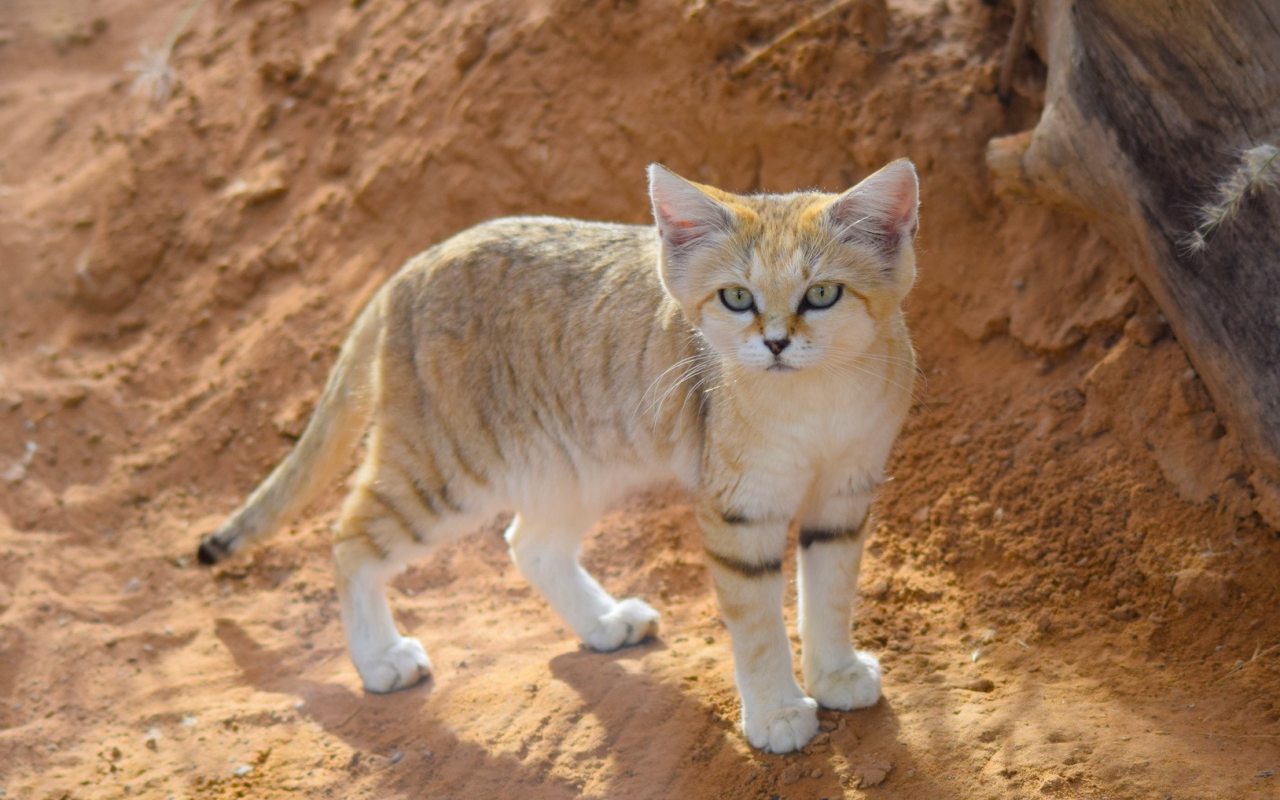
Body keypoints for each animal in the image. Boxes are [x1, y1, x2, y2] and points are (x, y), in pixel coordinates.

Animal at [197, 159, 921, 752]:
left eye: (821, 294)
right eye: (736, 297)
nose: (774, 343)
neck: (815, 402)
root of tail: (417, 260)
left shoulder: (845, 494)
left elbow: (830, 593)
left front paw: (835, 674)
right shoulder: (739, 510)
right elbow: (759, 624)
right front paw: (776, 714)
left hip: (573, 466)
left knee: (529, 544)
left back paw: (602, 621)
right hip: (448, 471)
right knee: (349, 537)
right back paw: (380, 660)